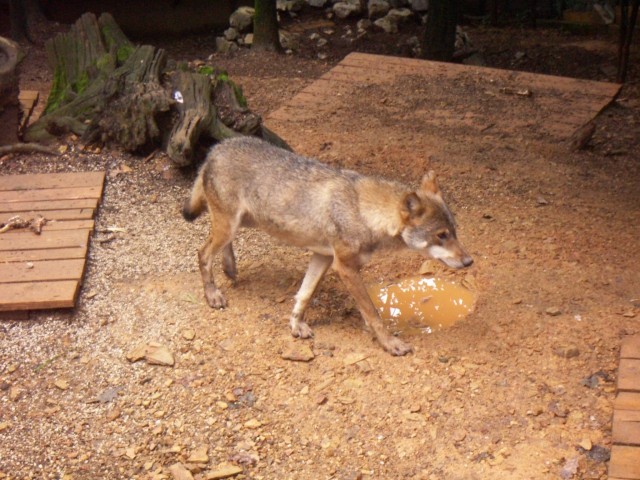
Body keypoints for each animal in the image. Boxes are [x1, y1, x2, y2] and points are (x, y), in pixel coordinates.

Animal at [182, 137, 472, 354]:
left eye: (455, 232)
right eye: (441, 235)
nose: (469, 261)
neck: (363, 210)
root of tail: (216, 148)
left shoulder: (322, 258)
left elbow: (304, 295)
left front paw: (296, 325)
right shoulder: (345, 268)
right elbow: (373, 314)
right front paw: (391, 344)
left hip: (242, 222)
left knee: (219, 247)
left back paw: (230, 269)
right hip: (230, 224)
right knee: (203, 253)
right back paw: (213, 294)